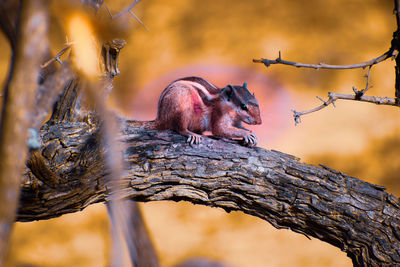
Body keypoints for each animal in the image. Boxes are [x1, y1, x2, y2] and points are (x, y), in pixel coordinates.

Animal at [134, 76, 262, 148]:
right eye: (243, 106)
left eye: (257, 102)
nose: (259, 122)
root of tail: (160, 119)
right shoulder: (218, 114)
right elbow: (220, 129)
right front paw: (246, 134)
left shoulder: (237, 122)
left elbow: (239, 127)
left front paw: (252, 135)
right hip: (182, 101)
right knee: (179, 128)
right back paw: (191, 134)